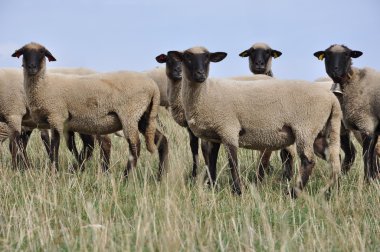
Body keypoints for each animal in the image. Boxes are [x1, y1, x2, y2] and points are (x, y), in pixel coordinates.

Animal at [11, 42, 168, 177]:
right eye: (24, 52)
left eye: (42, 52)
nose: (31, 67)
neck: (45, 85)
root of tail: (153, 87)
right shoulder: (69, 124)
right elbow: (75, 147)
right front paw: (75, 169)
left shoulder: (56, 116)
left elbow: (55, 146)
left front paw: (55, 172)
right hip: (144, 116)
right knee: (162, 140)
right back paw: (161, 176)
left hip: (129, 114)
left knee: (135, 146)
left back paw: (125, 178)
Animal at [169, 46, 342, 197]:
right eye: (187, 57)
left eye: (207, 58)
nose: (201, 74)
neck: (206, 93)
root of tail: (332, 99)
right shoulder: (213, 136)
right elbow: (211, 162)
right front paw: (213, 188)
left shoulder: (228, 129)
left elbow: (233, 163)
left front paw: (238, 191)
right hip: (321, 132)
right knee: (334, 159)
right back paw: (331, 192)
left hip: (305, 128)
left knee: (309, 160)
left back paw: (293, 193)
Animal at [314, 44, 380, 180]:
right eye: (327, 54)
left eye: (346, 54)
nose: (335, 70)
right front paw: (371, 179)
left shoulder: (366, 124)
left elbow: (367, 155)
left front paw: (368, 180)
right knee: (351, 154)